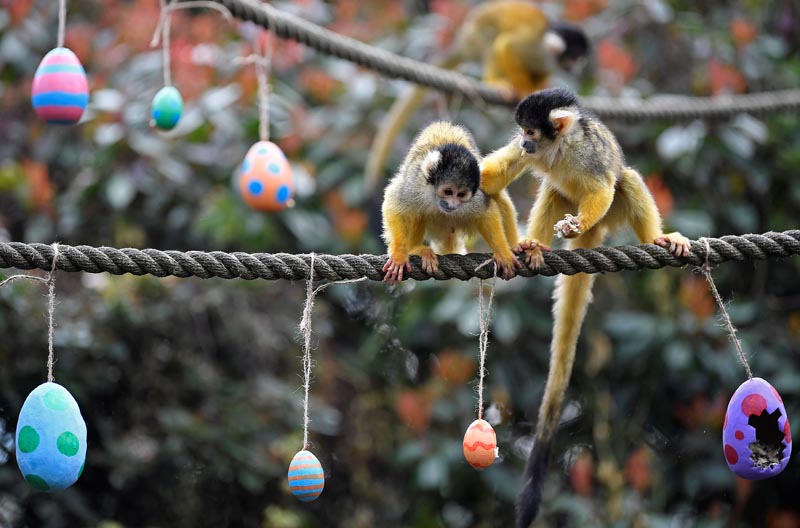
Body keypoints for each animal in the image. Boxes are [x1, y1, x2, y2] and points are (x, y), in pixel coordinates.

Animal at [365, 1, 590, 196]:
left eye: (579, 59)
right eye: (572, 58)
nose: (577, 68)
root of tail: (465, 37)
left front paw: (538, 88)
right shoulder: (537, 51)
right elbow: (507, 46)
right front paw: (523, 88)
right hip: (479, 37)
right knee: (493, 39)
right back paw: (495, 82)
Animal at [381, 121, 521, 284]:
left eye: (460, 195)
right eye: (448, 192)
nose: (452, 205)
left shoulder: (476, 194)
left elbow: (487, 212)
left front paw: (503, 253)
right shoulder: (415, 183)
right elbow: (394, 202)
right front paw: (399, 254)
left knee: (496, 195)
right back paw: (415, 249)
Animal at [479, 87, 691, 527]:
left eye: (530, 131)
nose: (524, 143)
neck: (557, 148)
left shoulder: (587, 153)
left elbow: (602, 187)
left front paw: (574, 224)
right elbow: (492, 178)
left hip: (610, 215)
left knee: (624, 181)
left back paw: (657, 239)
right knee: (553, 191)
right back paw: (534, 247)